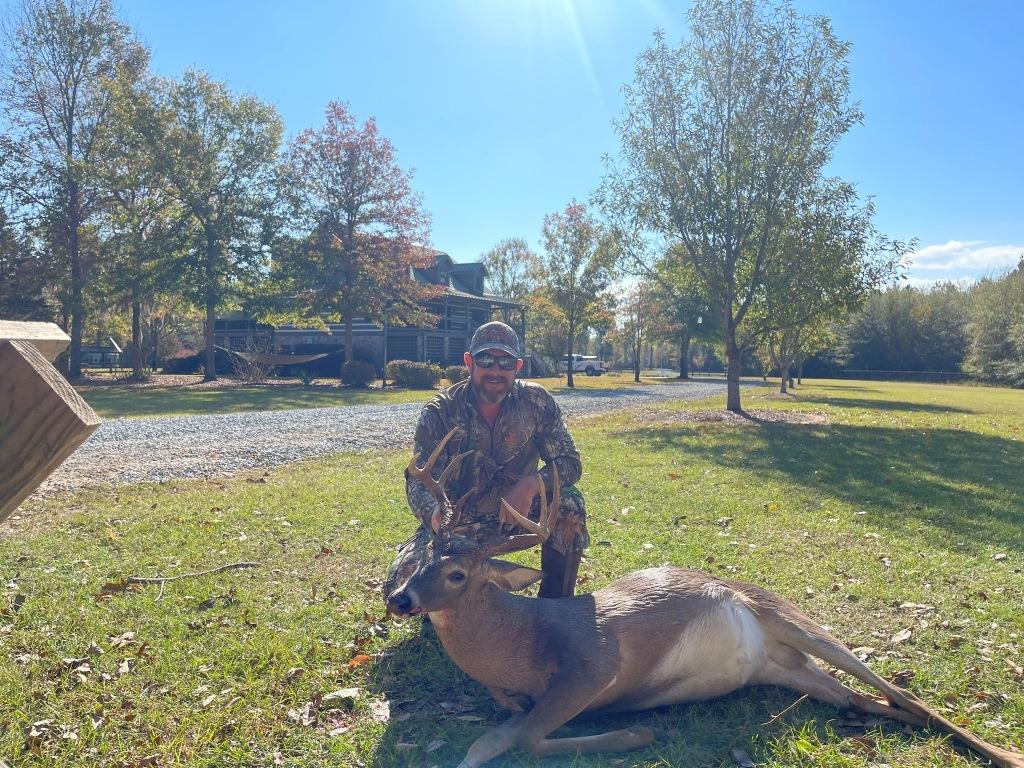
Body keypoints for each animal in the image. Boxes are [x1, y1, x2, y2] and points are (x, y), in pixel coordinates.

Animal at [385, 430, 1024, 765]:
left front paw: (637, 735)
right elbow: (492, 738)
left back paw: (1006, 754)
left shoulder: (593, 663)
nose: (400, 599)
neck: (518, 647)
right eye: (423, 557)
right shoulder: (517, 699)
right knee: (866, 700)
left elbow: (520, 737)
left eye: (458, 574)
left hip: (791, 616)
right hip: (789, 670)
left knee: (900, 692)